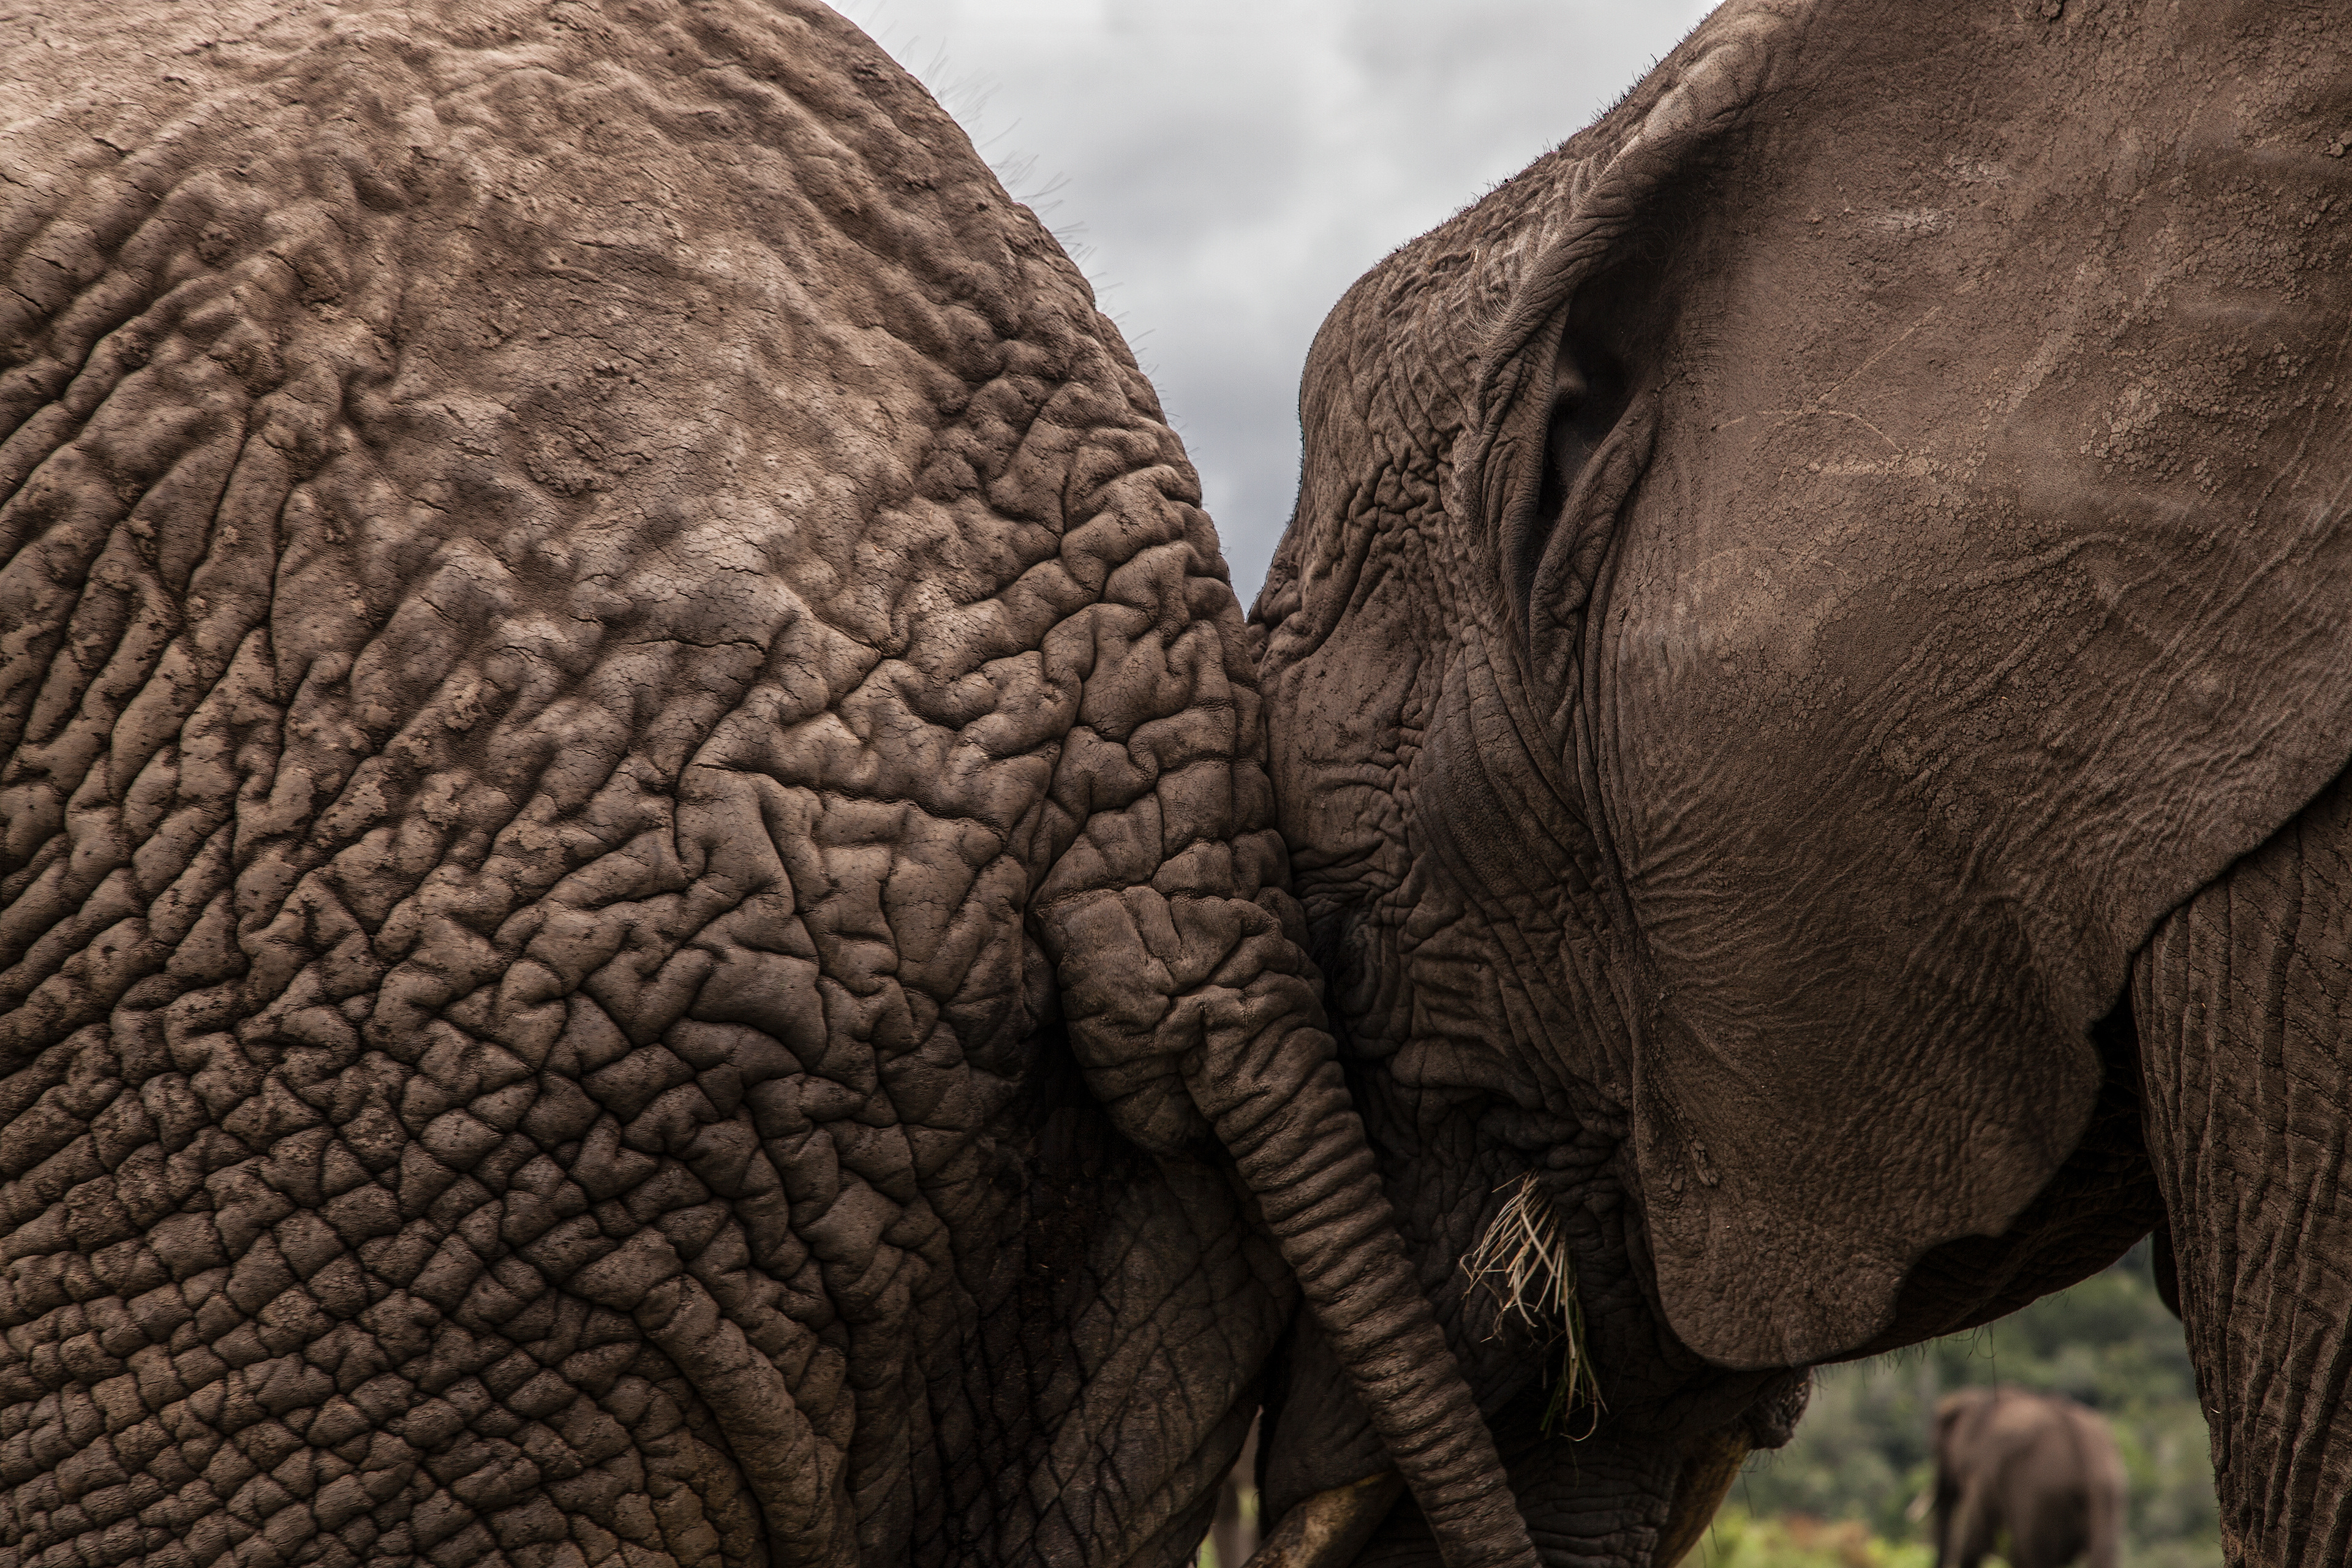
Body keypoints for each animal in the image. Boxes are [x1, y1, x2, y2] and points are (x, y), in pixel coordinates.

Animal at [1930, 1388, 2124, 1568]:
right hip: (2106, 1496)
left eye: (1939, 1449)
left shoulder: (1984, 1474)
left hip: (2039, 1497)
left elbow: (1976, 1539)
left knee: (2030, 1555)